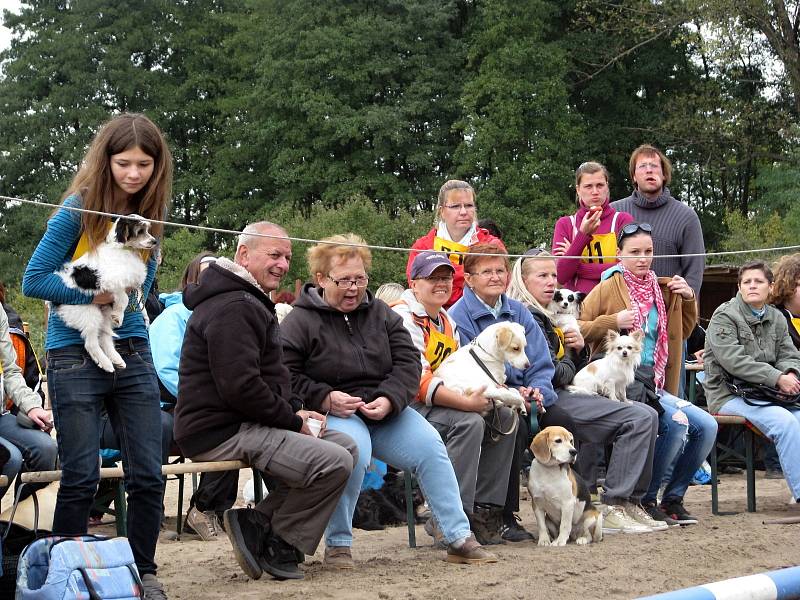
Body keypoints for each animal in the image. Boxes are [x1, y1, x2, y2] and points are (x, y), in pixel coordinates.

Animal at [53, 216, 158, 372]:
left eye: (147, 230)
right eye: (140, 231)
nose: (154, 241)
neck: (124, 249)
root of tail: (54, 302)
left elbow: (140, 300)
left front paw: (145, 317)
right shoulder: (112, 282)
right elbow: (124, 298)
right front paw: (119, 315)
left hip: (104, 313)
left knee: (104, 338)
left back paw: (116, 359)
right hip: (90, 314)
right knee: (91, 343)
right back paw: (106, 363)